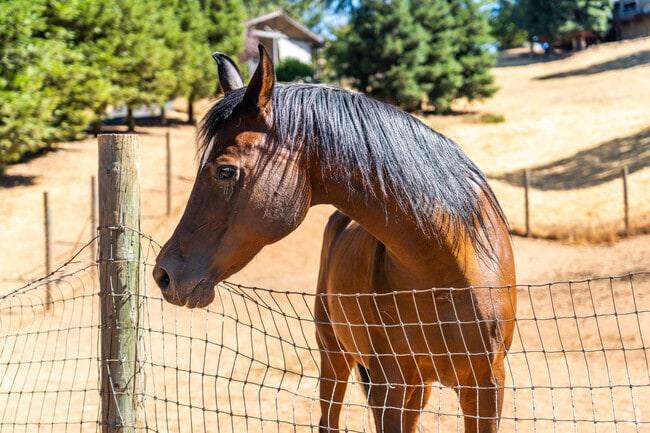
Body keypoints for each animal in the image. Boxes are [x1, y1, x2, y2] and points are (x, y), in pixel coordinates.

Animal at [153, 45, 517, 433]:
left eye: (225, 171)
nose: (164, 274)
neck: (447, 272)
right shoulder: (389, 383)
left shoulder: (486, 386)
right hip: (335, 356)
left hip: (416, 384)